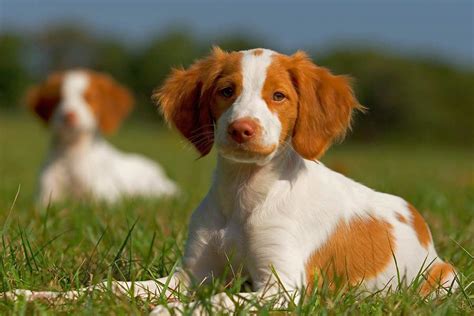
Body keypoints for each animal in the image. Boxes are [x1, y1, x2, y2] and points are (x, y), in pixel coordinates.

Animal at [28, 69, 180, 205]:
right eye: (57, 98)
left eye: (88, 98)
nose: (68, 116)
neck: (71, 153)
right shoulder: (45, 195)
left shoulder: (104, 197)